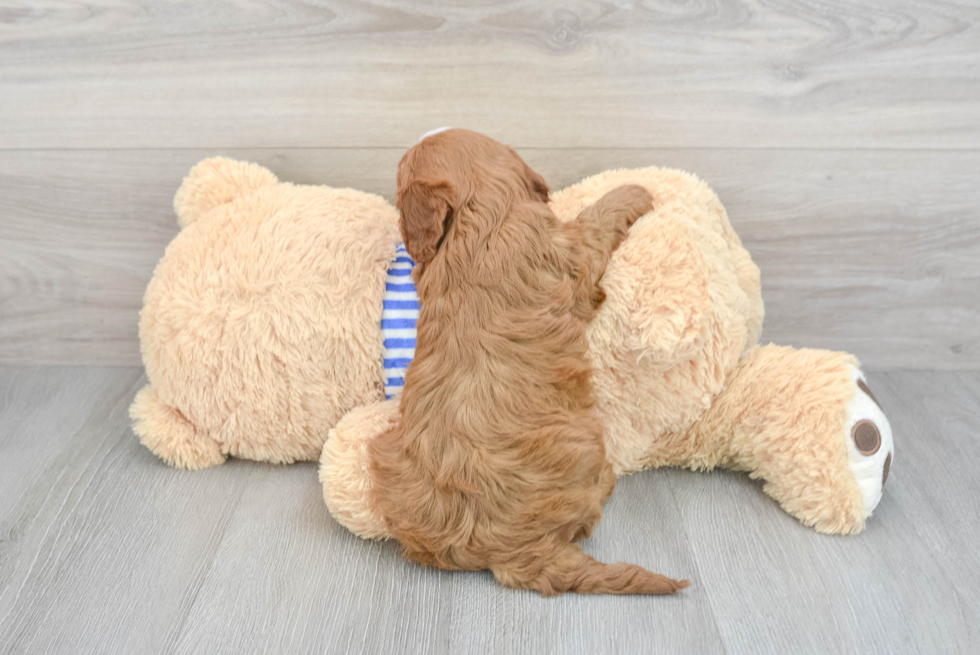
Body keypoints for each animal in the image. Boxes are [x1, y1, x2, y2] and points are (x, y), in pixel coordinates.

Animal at [368, 131, 688, 596]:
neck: (478, 219)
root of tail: (515, 555)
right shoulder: (573, 251)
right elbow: (596, 218)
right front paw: (634, 190)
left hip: (390, 467)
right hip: (586, 450)